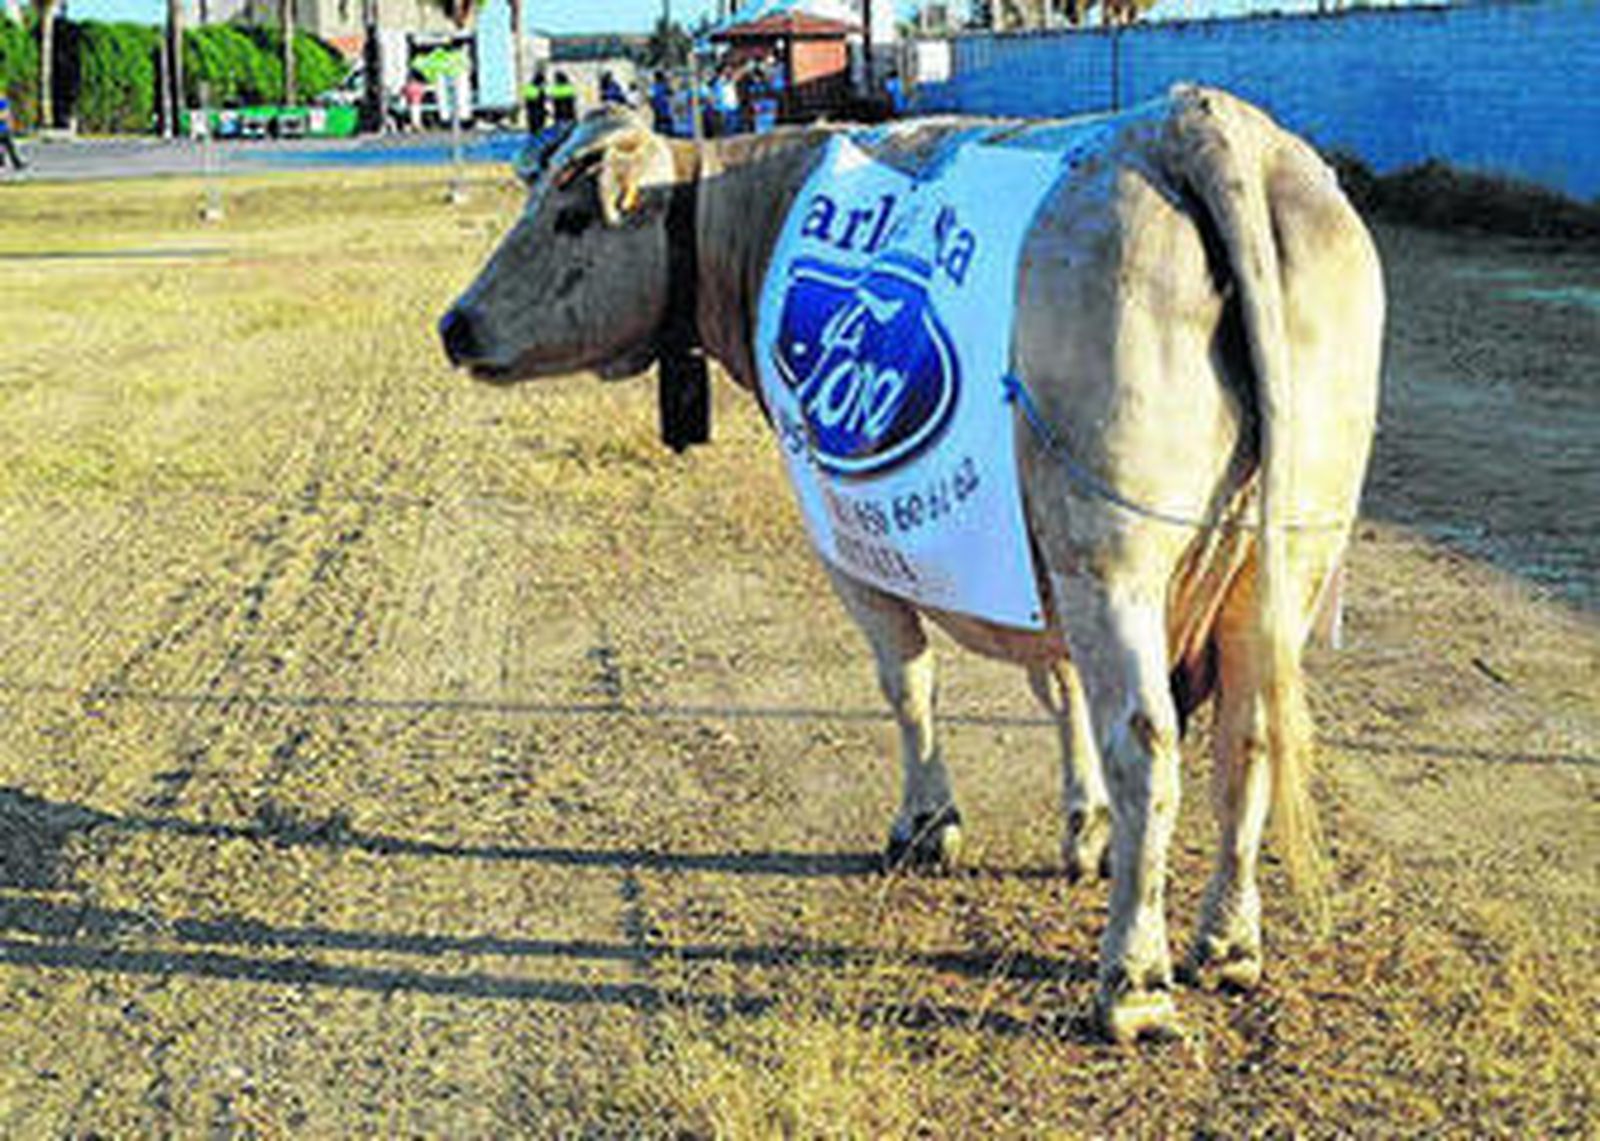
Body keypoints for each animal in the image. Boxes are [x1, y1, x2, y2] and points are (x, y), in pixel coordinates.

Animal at [438, 86, 1384, 1043]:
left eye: (567, 218)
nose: (454, 324)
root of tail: (1198, 119)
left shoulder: (855, 544)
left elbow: (909, 682)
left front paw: (927, 824)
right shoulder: (1032, 560)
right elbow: (1063, 689)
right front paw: (1086, 829)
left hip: (1113, 564)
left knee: (1149, 743)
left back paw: (1133, 979)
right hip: (1282, 564)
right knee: (1249, 735)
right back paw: (1227, 941)